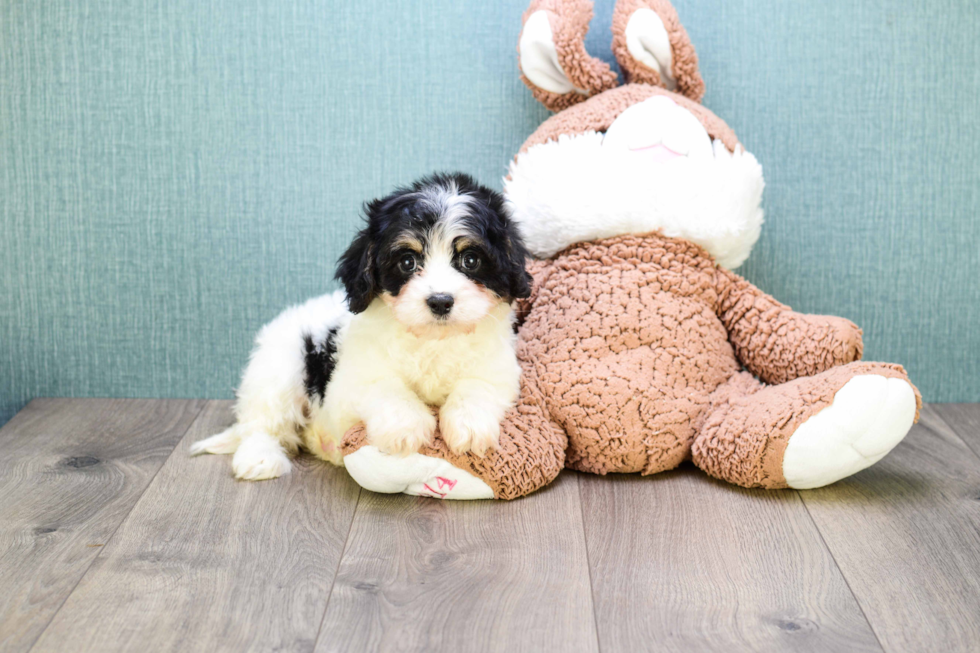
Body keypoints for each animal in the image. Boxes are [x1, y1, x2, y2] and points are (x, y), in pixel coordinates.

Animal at [188, 173, 532, 478]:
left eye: (470, 260)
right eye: (407, 262)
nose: (440, 301)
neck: (432, 340)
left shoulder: (497, 368)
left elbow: (478, 386)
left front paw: (469, 427)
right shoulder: (353, 377)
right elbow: (386, 387)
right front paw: (406, 428)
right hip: (280, 366)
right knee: (261, 422)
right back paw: (260, 458)